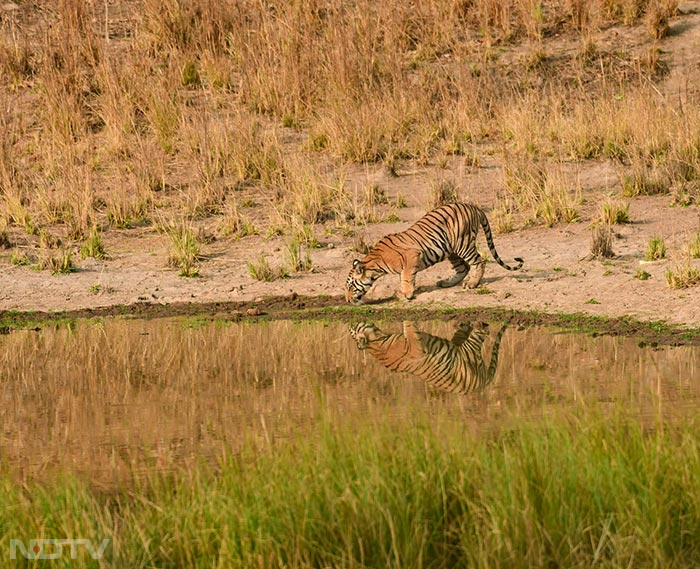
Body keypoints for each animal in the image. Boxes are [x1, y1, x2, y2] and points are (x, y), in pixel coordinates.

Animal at [348, 203, 524, 304]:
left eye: (350, 286)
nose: (348, 300)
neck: (376, 265)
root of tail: (474, 207)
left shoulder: (412, 256)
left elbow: (407, 277)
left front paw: (406, 294)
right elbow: (404, 278)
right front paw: (404, 293)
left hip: (463, 243)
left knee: (478, 262)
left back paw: (472, 284)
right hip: (452, 250)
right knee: (463, 268)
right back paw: (446, 283)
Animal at [348, 320, 504, 394]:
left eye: (351, 329)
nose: (350, 323)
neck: (377, 341)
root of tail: (485, 381)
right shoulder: (416, 343)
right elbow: (409, 326)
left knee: (463, 332)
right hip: (471, 349)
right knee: (482, 332)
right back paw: (479, 325)